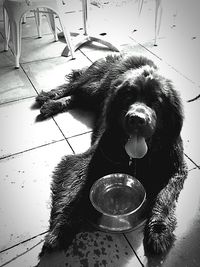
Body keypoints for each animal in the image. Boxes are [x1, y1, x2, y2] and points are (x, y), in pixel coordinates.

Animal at [36, 53, 188, 256]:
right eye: (128, 96)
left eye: (156, 101)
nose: (137, 119)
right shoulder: (85, 160)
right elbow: (75, 193)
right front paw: (60, 230)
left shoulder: (176, 169)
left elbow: (165, 197)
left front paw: (159, 231)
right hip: (93, 85)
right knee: (73, 86)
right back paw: (49, 98)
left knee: (77, 96)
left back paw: (52, 105)